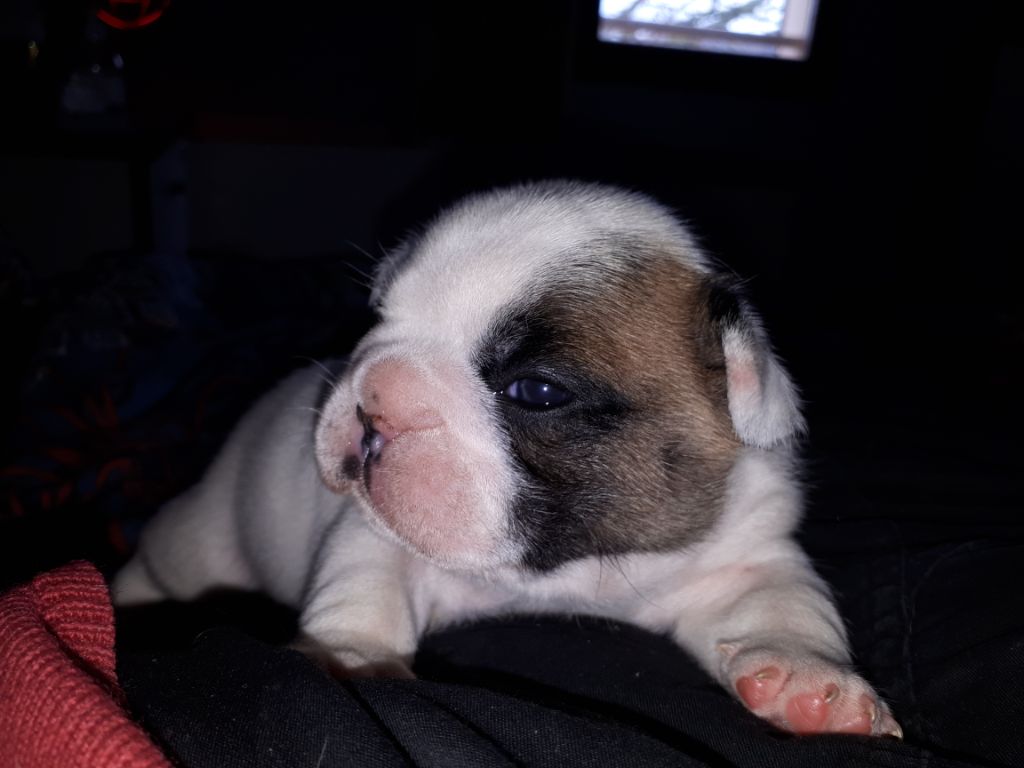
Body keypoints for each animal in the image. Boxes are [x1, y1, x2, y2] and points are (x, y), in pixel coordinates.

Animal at [114, 180, 901, 737]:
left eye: (536, 391)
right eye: (375, 318)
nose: (373, 399)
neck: (570, 565)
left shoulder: (744, 555)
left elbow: (780, 606)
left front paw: (812, 682)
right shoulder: (374, 536)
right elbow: (364, 584)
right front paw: (351, 661)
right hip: (204, 536)